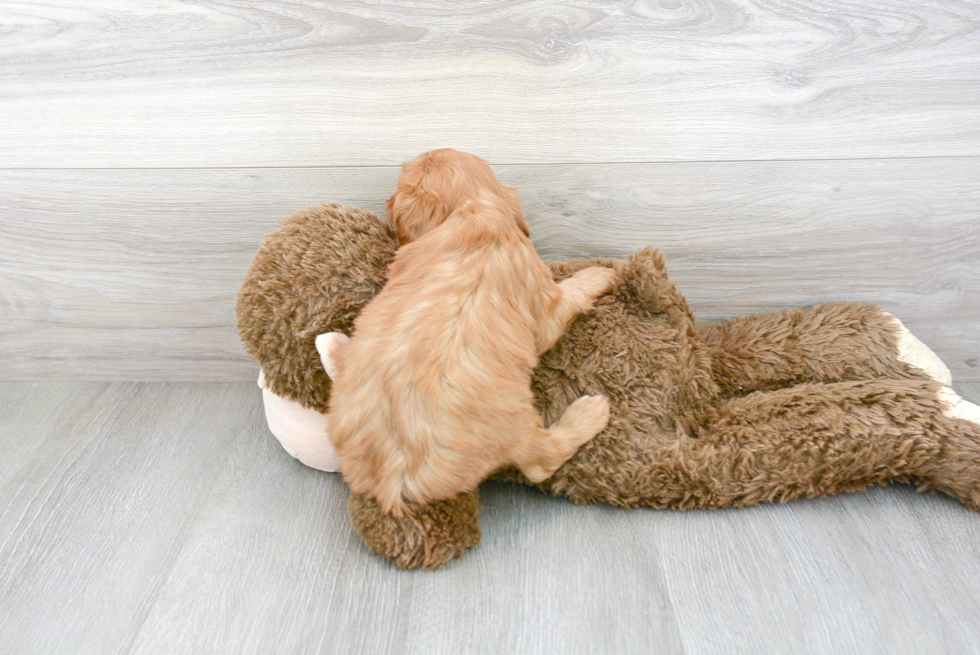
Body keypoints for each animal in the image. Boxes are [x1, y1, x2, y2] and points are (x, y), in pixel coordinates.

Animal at [324, 150, 612, 516]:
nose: (385, 201)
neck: (472, 209)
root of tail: (394, 478)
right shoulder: (545, 307)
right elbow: (570, 295)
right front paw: (599, 273)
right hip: (518, 423)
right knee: (541, 461)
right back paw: (589, 413)